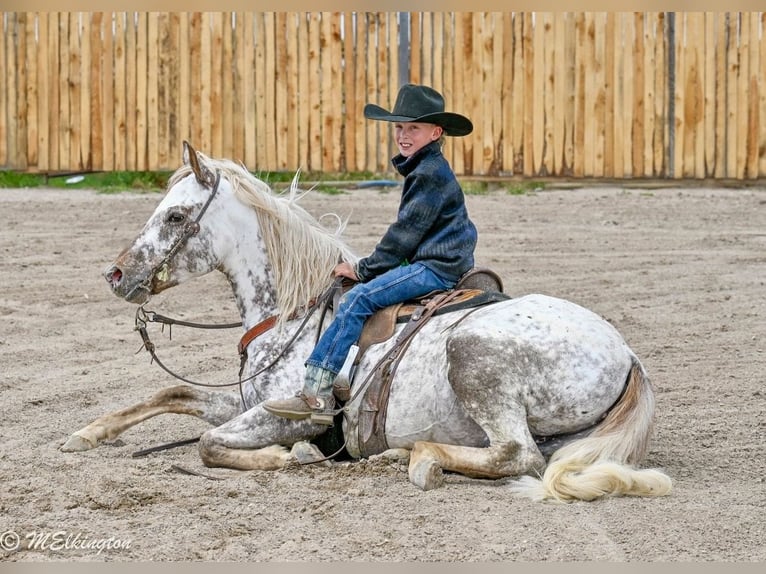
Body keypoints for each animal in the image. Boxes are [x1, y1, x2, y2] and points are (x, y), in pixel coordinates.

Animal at [62, 141, 672, 502]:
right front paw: (86, 434)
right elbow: (169, 394)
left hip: (474, 354)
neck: (292, 313)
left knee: (515, 454)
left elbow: (209, 443)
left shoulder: (287, 413)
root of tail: (627, 355)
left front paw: (289, 457)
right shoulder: (246, 399)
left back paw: (420, 459)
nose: (116, 274)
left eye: (175, 215)